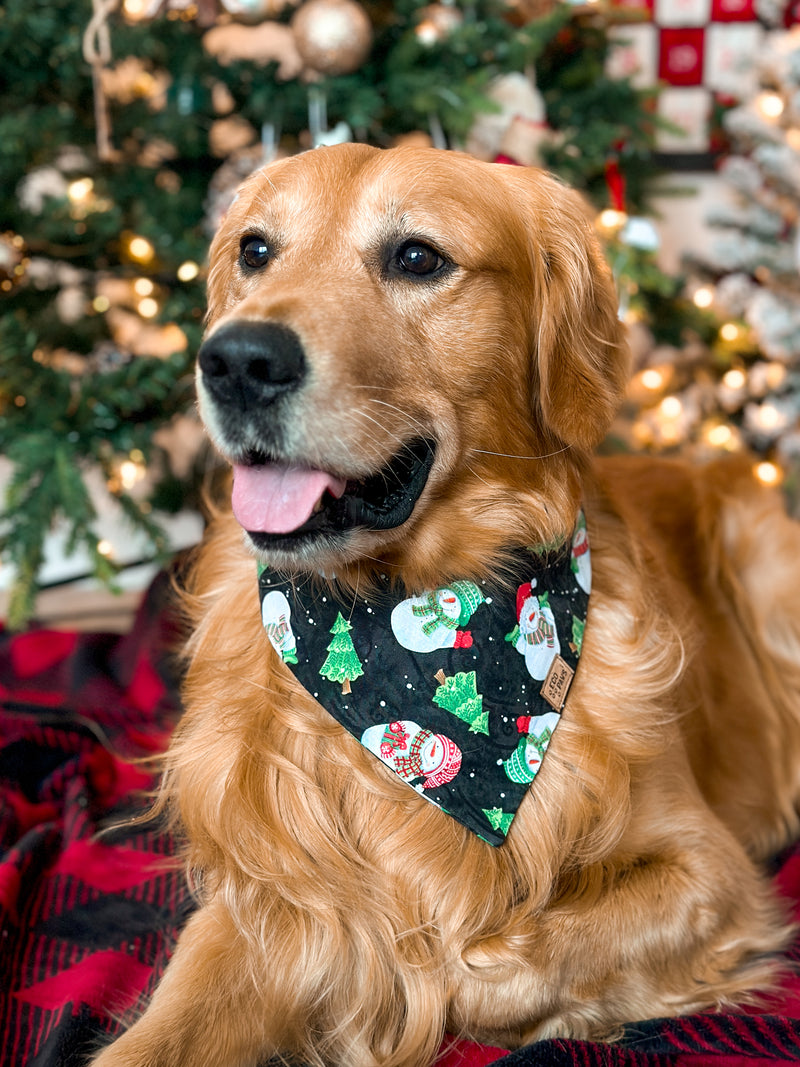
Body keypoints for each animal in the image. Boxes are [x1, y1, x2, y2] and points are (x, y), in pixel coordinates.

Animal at [95, 141, 800, 1067]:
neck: (402, 629)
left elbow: (466, 962)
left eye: (417, 257)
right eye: (255, 251)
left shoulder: (710, 870)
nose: (238, 360)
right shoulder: (264, 893)